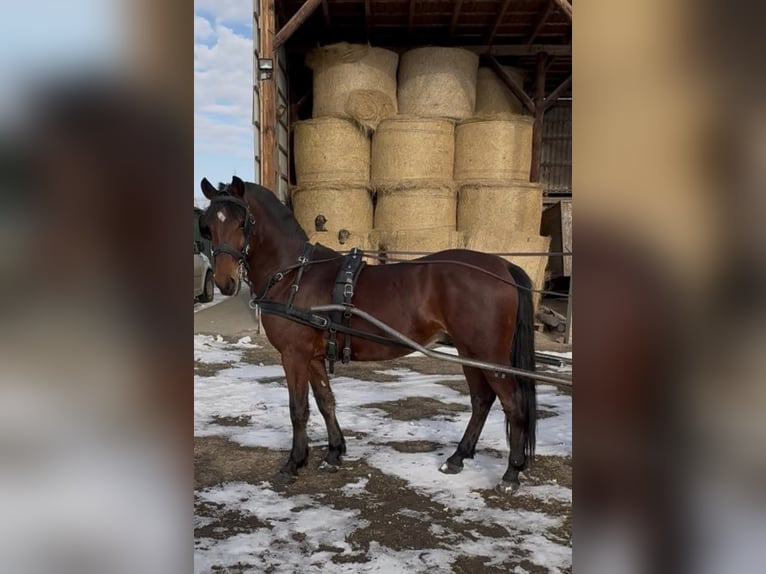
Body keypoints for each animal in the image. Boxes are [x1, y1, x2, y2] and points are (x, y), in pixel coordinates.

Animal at [198, 175, 538, 493]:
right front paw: (333, 454)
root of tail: (502, 266)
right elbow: (325, 401)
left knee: (513, 404)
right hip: (470, 352)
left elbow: (298, 409)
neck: (295, 274)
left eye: (243, 222)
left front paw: (293, 463)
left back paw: (511, 473)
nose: (225, 282)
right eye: (209, 227)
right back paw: (457, 458)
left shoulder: (294, 355)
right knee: (482, 400)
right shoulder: (313, 357)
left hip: (488, 354)